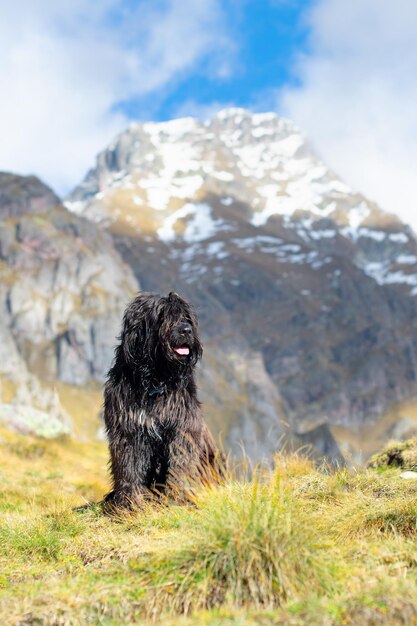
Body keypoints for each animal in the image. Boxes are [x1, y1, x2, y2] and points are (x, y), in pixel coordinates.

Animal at [103, 290, 221, 504]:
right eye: (162, 315)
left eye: (186, 317)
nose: (186, 330)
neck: (156, 379)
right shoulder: (128, 429)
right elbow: (129, 466)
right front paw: (129, 502)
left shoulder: (183, 427)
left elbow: (180, 463)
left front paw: (177, 497)